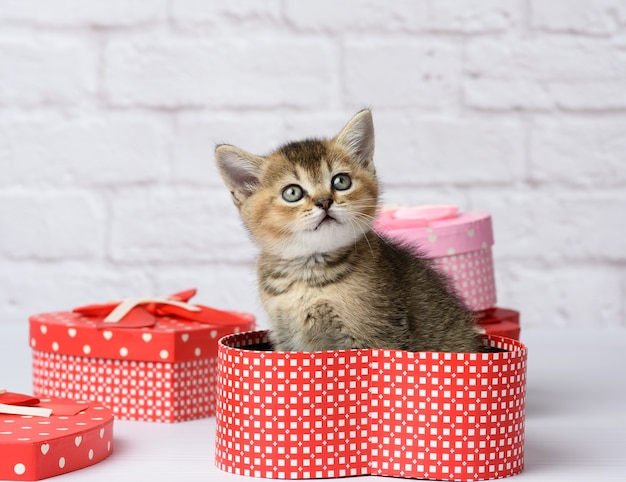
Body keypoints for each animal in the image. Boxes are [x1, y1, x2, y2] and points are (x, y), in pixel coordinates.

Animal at [214, 111, 482, 352]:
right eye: (292, 192)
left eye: (341, 181)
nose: (324, 202)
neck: (308, 276)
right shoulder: (286, 337)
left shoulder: (378, 336)